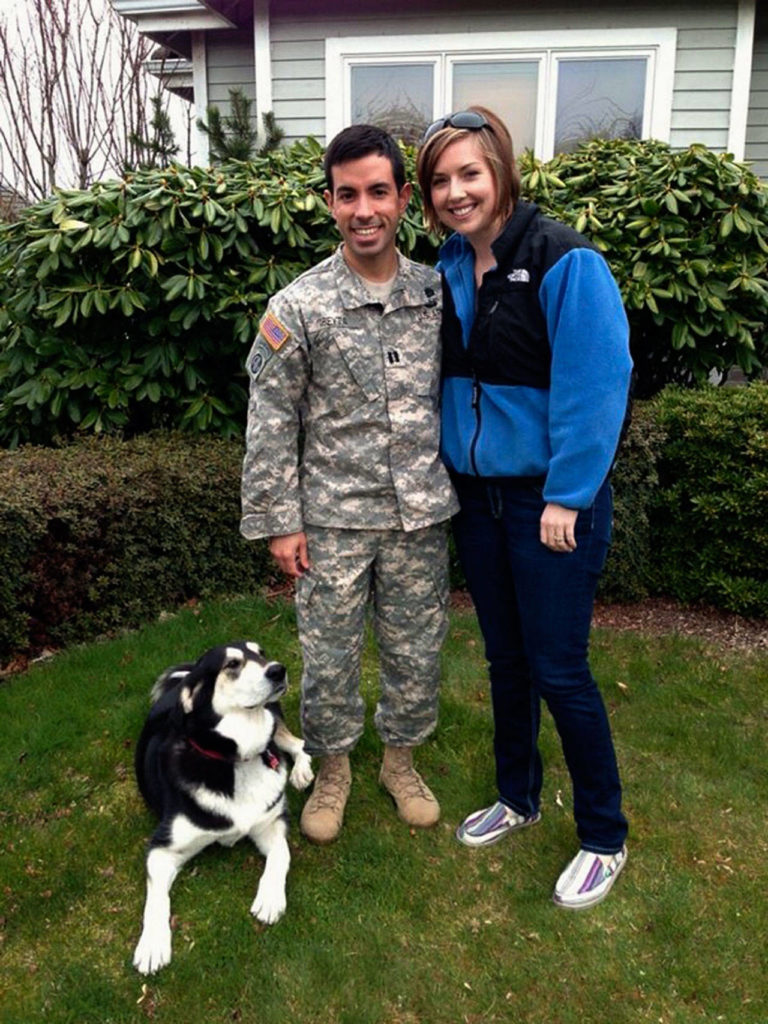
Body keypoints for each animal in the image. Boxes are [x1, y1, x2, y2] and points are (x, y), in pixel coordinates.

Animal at [134, 638, 313, 974]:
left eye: (261, 653)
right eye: (232, 664)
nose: (278, 670)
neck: (235, 759)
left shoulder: (270, 823)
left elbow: (281, 855)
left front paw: (270, 897)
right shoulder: (162, 848)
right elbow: (155, 901)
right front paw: (151, 945)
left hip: (276, 724)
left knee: (299, 744)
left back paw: (300, 771)